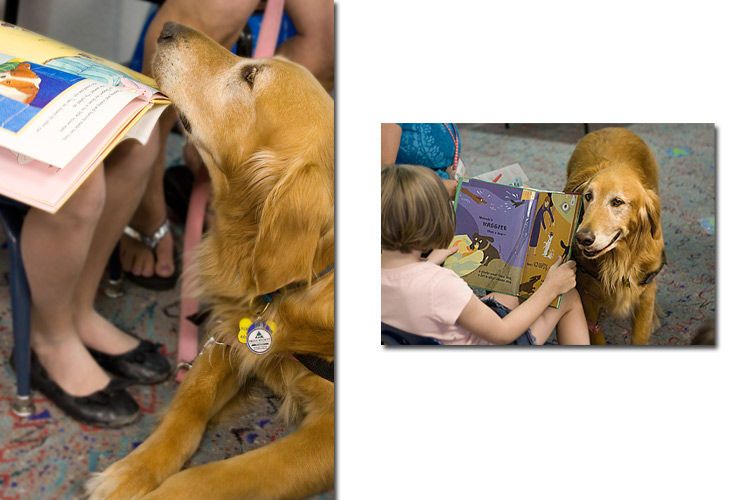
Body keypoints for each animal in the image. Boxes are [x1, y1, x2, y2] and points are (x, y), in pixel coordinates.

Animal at [86, 21, 334, 498]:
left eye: (250, 76)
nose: (166, 28)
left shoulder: (326, 435)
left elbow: (223, 474)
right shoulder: (227, 336)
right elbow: (185, 411)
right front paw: (130, 471)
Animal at [568, 126, 668, 344]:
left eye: (617, 202)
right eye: (588, 196)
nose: (582, 239)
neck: (619, 259)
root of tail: (612, 127)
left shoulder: (645, 296)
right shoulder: (587, 298)